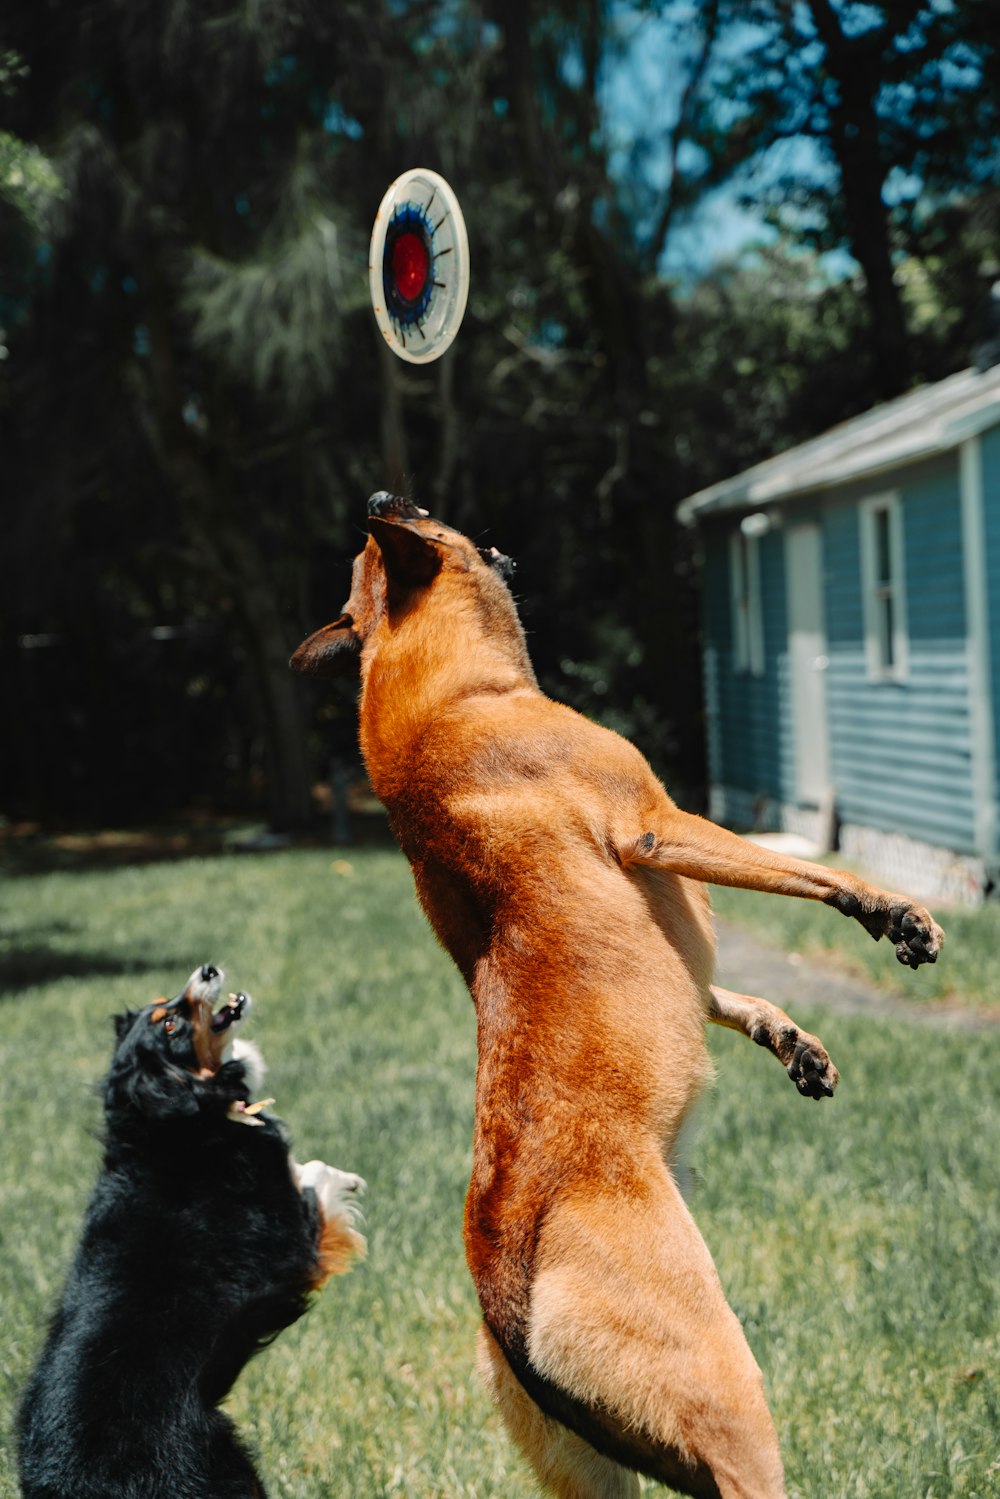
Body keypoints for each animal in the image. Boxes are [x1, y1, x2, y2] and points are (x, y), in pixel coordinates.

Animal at [19, 959, 365, 1499]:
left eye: (167, 1005)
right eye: (169, 1025)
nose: (206, 969)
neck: (173, 1127)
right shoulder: (291, 1245)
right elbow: (312, 1178)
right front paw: (347, 1183)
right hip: (219, 1465)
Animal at [290, 494, 947, 1499]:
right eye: (426, 511)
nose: (381, 499)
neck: (447, 698)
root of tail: (503, 1286)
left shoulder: (682, 947)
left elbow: (714, 987)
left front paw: (787, 1035)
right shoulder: (658, 825)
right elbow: (800, 872)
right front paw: (886, 908)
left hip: (591, 1465)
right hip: (725, 1386)